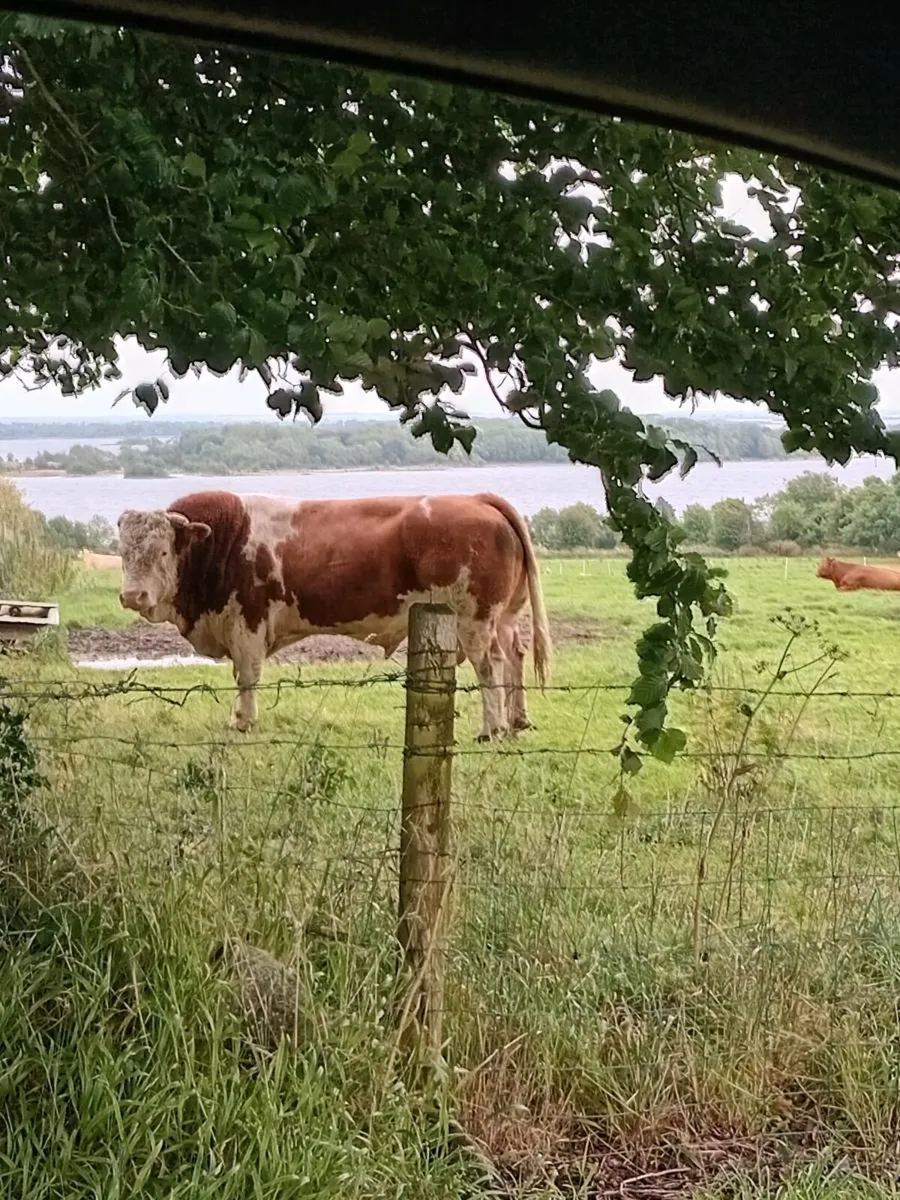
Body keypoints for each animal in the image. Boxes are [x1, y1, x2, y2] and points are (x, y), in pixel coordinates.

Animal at [117, 490, 552, 740]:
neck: (228, 540)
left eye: (162, 551)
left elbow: (248, 675)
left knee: (490, 664)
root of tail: (478, 498)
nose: (132, 595)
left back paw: (492, 729)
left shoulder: (248, 621)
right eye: (123, 552)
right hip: (504, 616)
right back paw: (518, 721)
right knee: (515, 654)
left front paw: (243, 722)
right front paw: (239, 718)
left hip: (474, 620)